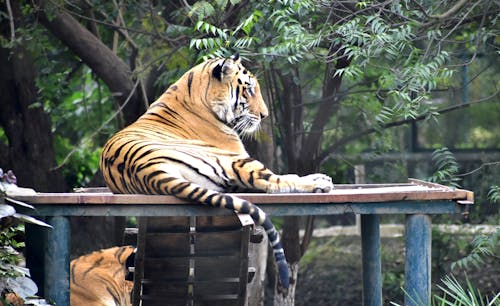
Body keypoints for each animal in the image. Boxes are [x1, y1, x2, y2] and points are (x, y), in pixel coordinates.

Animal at [99, 53, 334, 292]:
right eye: (249, 90)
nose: (265, 115)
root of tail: (149, 171)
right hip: (234, 161)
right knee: (272, 182)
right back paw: (320, 182)